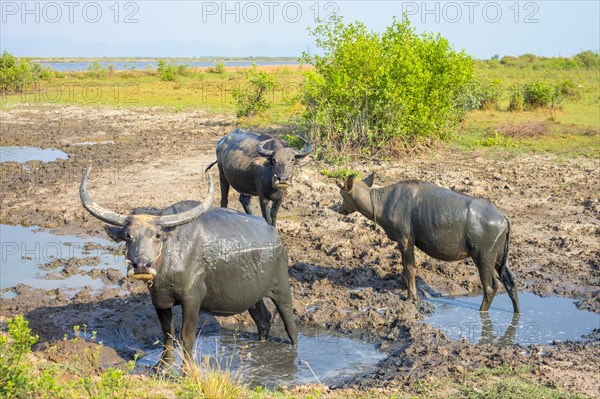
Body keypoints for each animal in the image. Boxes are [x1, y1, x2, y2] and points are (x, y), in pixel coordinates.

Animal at [78, 166, 298, 368]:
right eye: (128, 236)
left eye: (157, 235)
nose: (141, 266)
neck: (168, 261)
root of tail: (274, 234)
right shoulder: (160, 301)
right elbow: (168, 334)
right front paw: (163, 367)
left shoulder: (192, 299)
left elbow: (186, 336)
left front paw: (187, 370)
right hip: (253, 295)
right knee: (263, 319)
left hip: (281, 288)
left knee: (289, 322)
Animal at [338, 173, 520, 314]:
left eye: (342, 193)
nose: (340, 209)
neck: (384, 201)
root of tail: (503, 217)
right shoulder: (403, 242)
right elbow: (404, 266)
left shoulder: (405, 239)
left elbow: (410, 268)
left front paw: (410, 296)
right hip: (499, 259)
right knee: (510, 282)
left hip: (483, 258)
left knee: (491, 287)